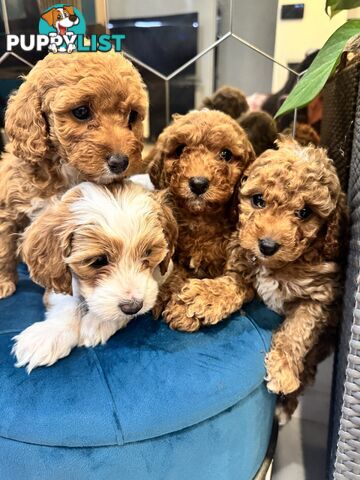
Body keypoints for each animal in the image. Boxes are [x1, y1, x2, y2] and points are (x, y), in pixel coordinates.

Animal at [0, 53, 148, 300]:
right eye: (81, 112)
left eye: (132, 116)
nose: (120, 162)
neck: (65, 168)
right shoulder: (8, 207)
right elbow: (4, 247)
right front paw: (3, 282)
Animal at [11, 180, 178, 372]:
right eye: (98, 261)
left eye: (149, 252)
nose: (132, 306)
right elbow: (66, 301)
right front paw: (50, 334)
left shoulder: (164, 271)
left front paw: (99, 321)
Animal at [147, 109, 256, 330]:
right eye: (180, 150)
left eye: (226, 154)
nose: (198, 183)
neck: (202, 219)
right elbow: (175, 270)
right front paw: (166, 290)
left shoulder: (244, 272)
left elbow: (230, 284)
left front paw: (192, 303)